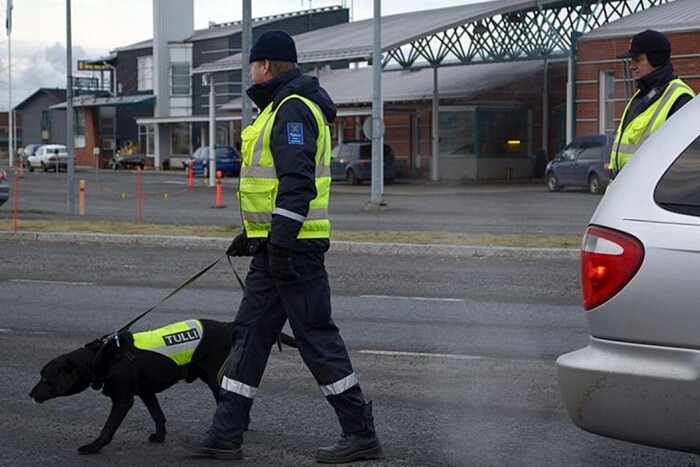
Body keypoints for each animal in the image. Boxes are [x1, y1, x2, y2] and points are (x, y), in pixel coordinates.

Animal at [29, 320, 296, 456]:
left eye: (45, 378)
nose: (31, 394)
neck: (101, 357)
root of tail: (229, 326)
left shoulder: (123, 399)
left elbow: (108, 428)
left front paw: (93, 447)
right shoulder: (146, 392)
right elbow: (158, 415)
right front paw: (160, 437)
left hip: (213, 376)